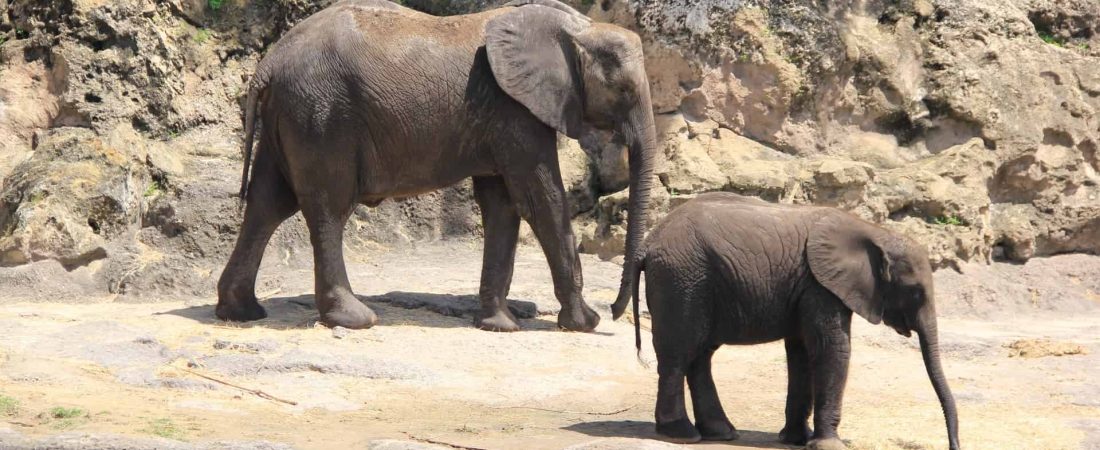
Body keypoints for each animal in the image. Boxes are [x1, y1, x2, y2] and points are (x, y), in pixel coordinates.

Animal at [215, 0, 658, 332]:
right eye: (622, 89)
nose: (616, 311)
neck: (579, 29)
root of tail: (267, 66)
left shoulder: (500, 116)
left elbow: (502, 204)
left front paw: (499, 326)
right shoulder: (514, 110)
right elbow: (539, 200)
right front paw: (584, 323)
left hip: (291, 115)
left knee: (267, 204)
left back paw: (241, 312)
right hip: (321, 116)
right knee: (327, 208)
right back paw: (355, 319)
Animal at [610, 193, 960, 449]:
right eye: (916, 292)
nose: (954, 445)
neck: (875, 232)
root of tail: (648, 243)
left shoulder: (807, 287)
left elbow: (802, 353)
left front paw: (795, 441)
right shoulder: (821, 286)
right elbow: (831, 349)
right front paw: (829, 445)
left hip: (698, 283)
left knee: (700, 355)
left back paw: (721, 433)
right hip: (682, 280)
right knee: (679, 354)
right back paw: (682, 434)